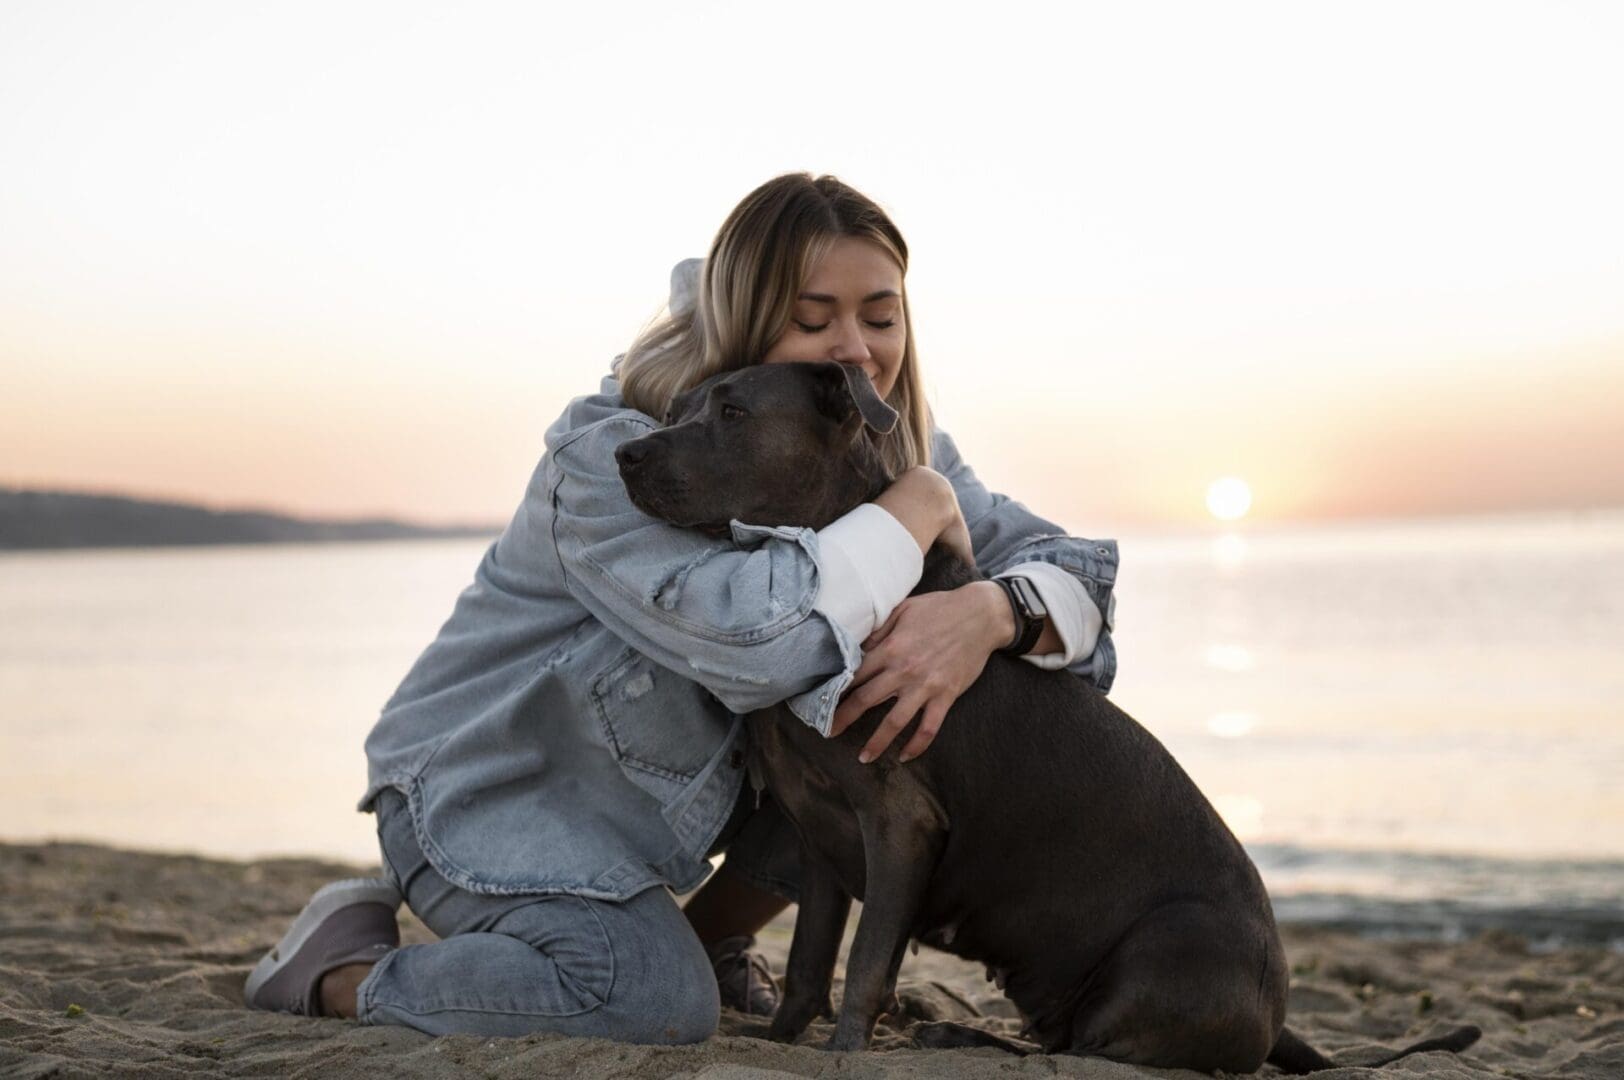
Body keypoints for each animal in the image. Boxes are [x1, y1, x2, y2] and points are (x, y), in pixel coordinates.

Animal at [613, 362, 1481, 1071]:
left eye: (732, 411)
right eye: (682, 406)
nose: (626, 455)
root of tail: (1278, 1018)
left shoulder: (899, 824)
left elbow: (862, 966)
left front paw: (847, 1050)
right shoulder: (819, 836)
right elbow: (806, 968)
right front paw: (784, 1042)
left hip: (1157, 957)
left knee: (1080, 1053)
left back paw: (953, 1033)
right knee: (1054, 1041)